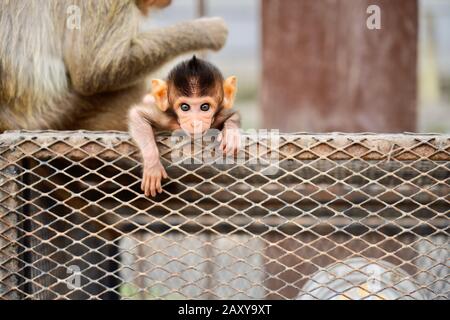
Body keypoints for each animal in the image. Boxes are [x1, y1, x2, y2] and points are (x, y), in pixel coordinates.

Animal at [129, 56, 241, 199]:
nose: (195, 123)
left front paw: (231, 136)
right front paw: (152, 167)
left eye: (205, 107)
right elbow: (137, 115)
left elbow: (233, 114)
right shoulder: (167, 119)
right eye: (185, 107)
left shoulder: (219, 116)